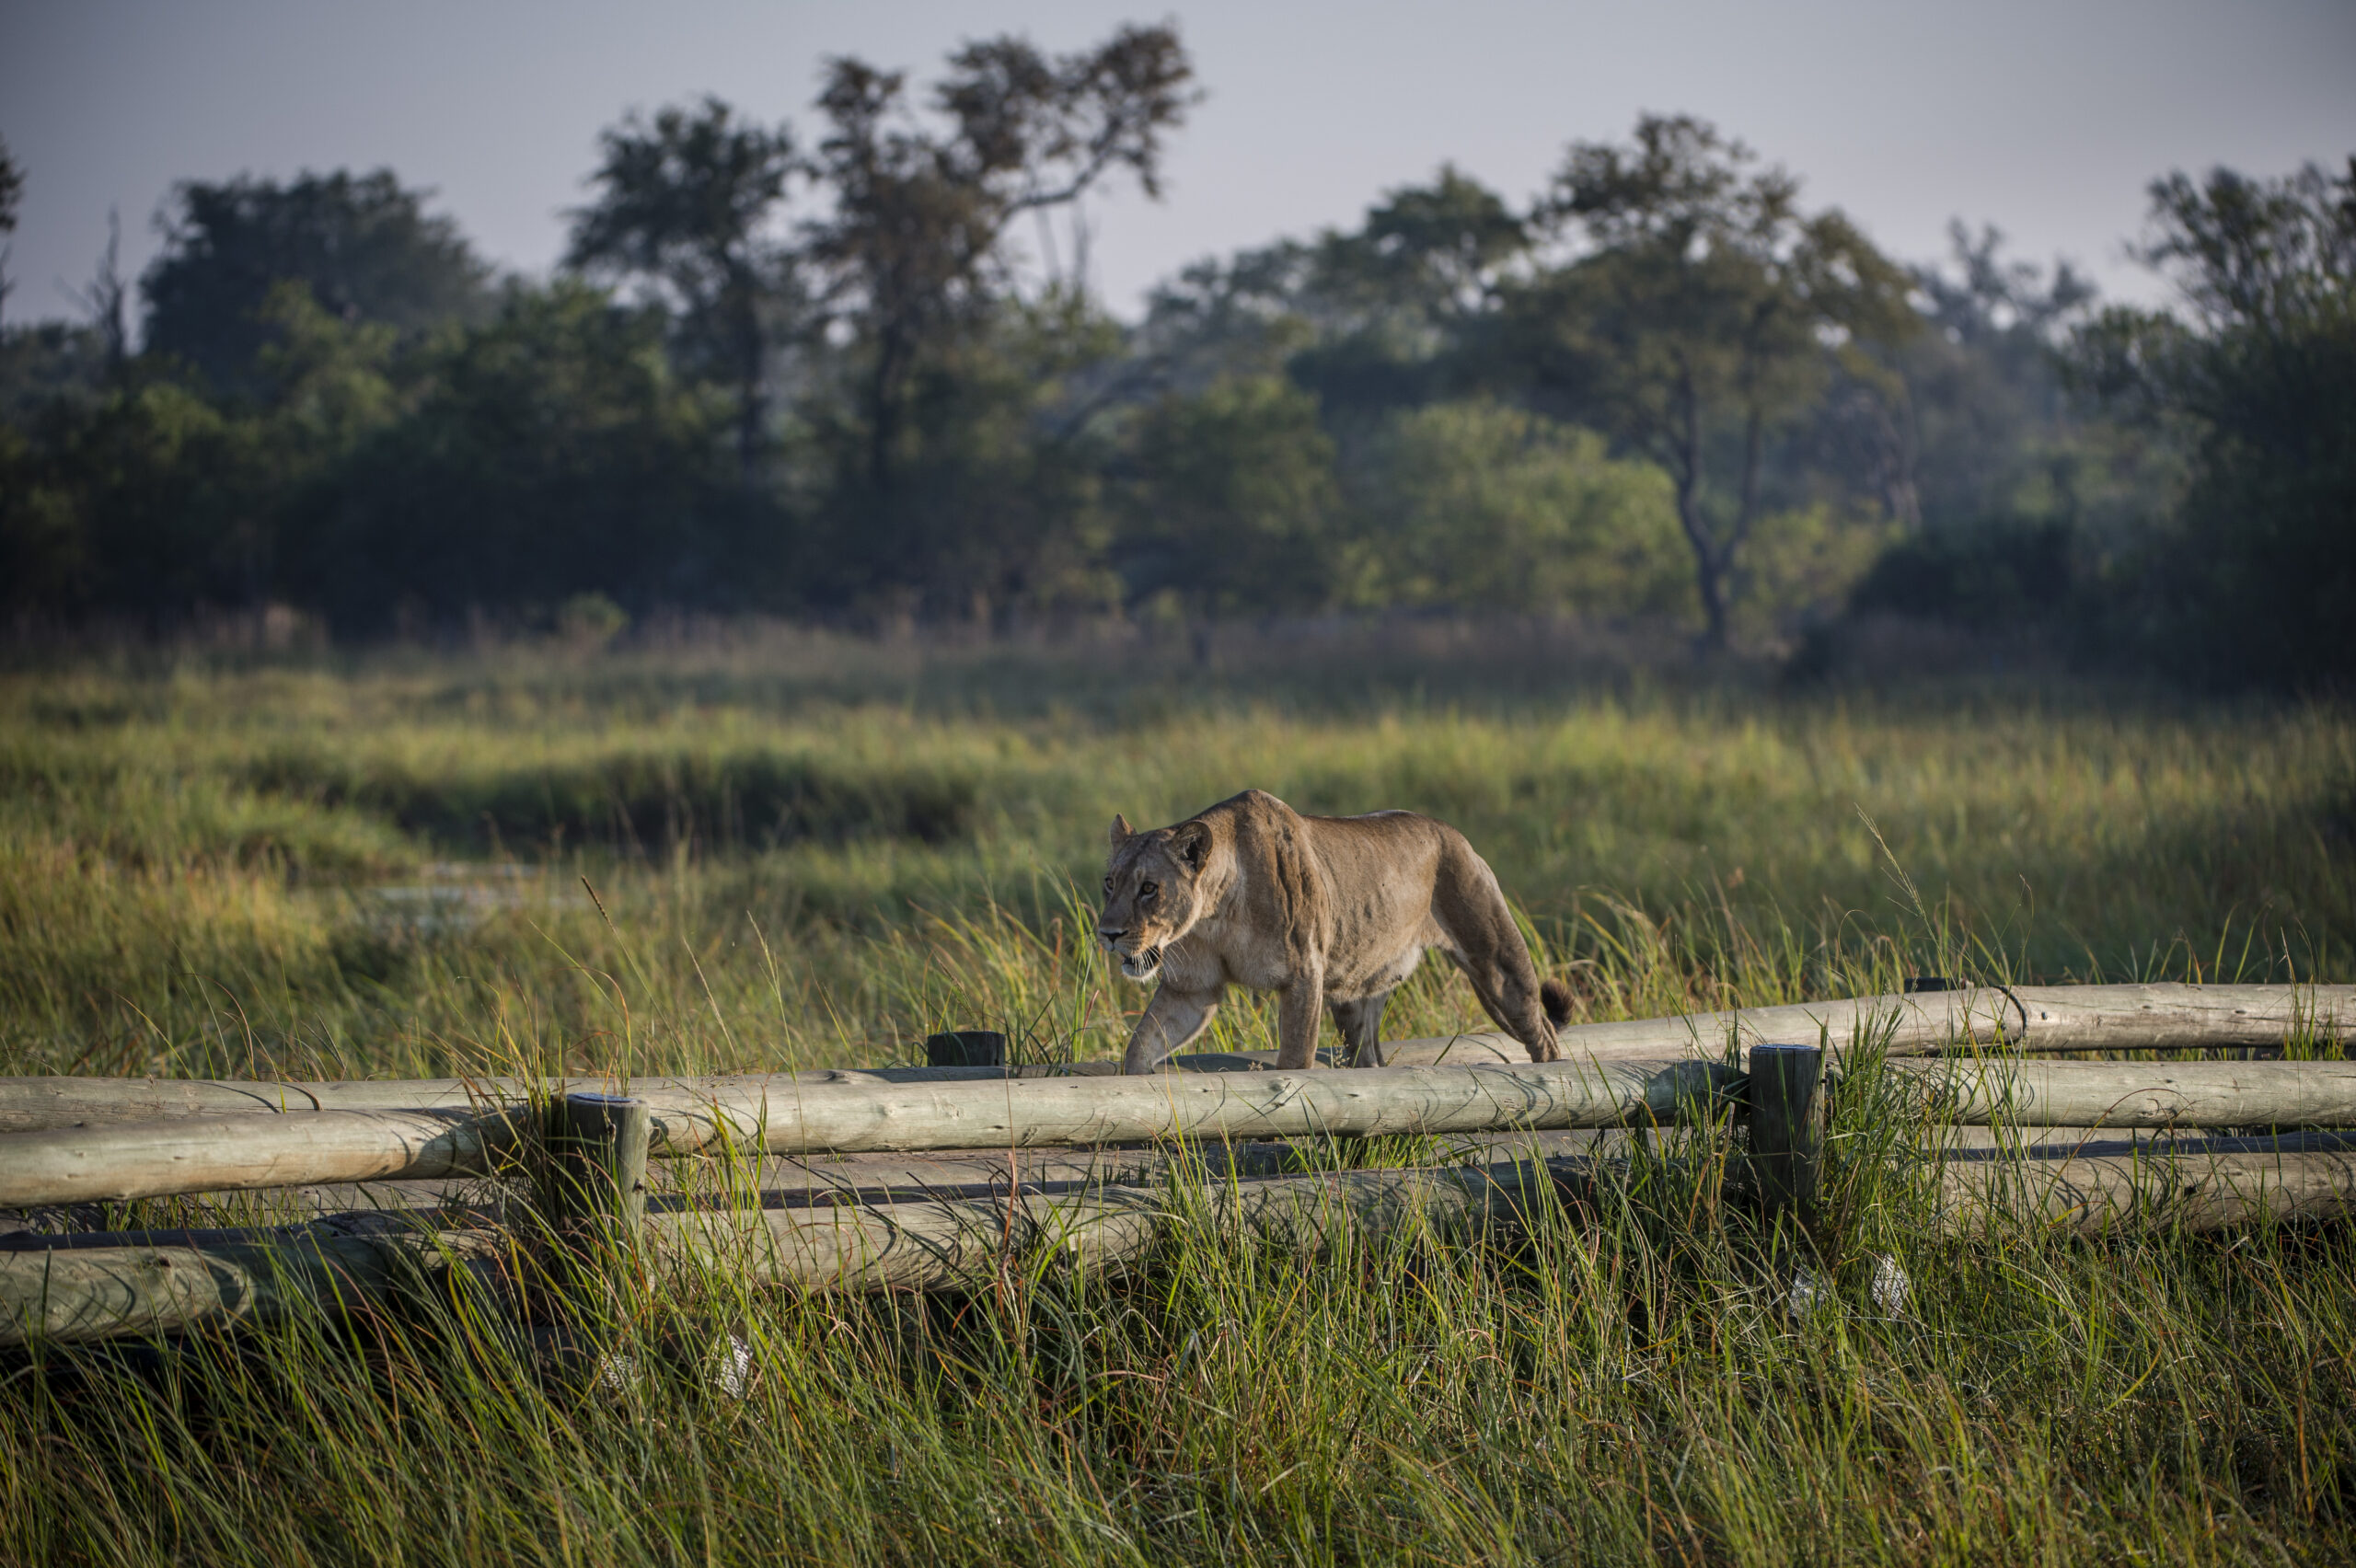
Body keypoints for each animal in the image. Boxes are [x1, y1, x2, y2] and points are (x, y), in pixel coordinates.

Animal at [1098, 788, 1572, 1073]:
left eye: (1149, 888)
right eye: (1109, 883)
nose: (1107, 933)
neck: (1216, 913)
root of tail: (1455, 834)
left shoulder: (1303, 977)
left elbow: (1294, 1063)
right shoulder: (1191, 990)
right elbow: (1142, 1043)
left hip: (1499, 969)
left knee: (1544, 1037)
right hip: (1356, 999)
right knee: (1370, 1062)